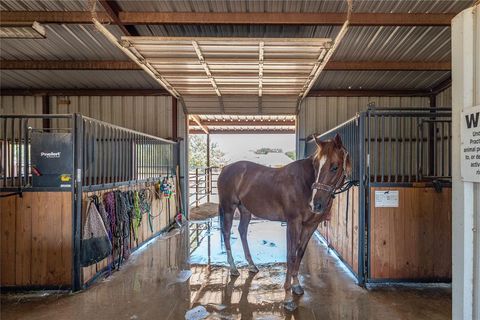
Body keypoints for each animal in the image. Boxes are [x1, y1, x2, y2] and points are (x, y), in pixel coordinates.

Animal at [219, 133, 350, 310]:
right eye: (316, 165)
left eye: (335, 167)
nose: (315, 204)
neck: (303, 183)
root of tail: (225, 168)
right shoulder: (293, 223)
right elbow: (291, 255)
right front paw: (287, 298)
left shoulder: (310, 226)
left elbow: (299, 253)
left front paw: (297, 286)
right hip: (228, 208)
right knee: (226, 233)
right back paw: (233, 268)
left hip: (245, 210)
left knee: (242, 231)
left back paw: (252, 265)